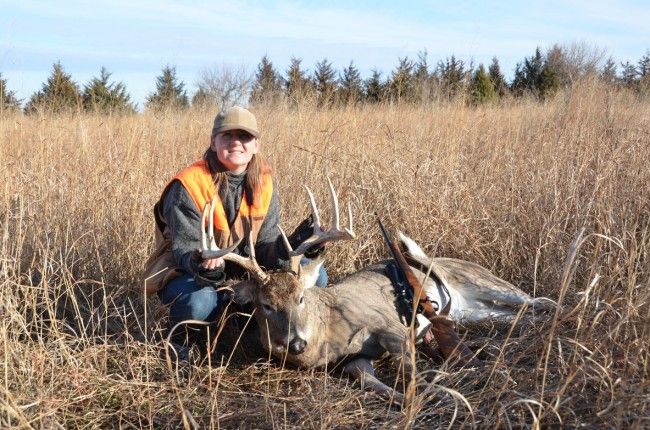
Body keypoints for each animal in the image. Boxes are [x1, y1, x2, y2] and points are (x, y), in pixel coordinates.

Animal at [200, 181, 544, 404]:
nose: (296, 343)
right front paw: (412, 397)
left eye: (300, 298)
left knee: (538, 301)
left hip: (484, 282)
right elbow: (375, 384)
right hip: (476, 312)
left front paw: (443, 387)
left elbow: (411, 371)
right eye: (266, 305)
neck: (328, 333)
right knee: (518, 316)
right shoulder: (355, 361)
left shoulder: (391, 327)